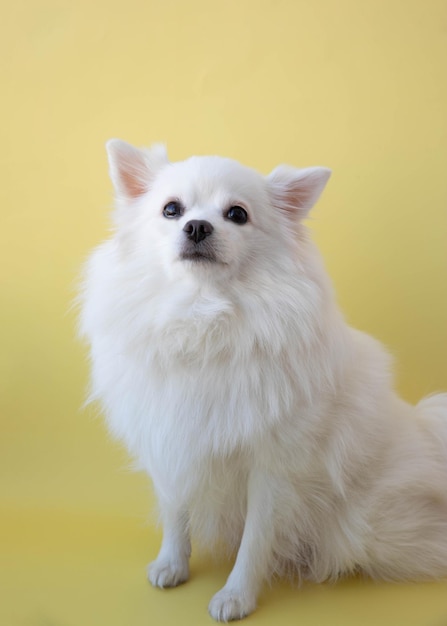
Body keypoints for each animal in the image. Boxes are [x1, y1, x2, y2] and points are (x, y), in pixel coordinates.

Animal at [80, 140, 447, 620]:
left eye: (237, 214)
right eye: (171, 210)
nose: (197, 226)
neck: (202, 318)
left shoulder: (273, 468)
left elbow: (255, 540)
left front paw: (236, 596)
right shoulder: (171, 443)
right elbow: (176, 513)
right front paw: (172, 565)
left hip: (372, 527)